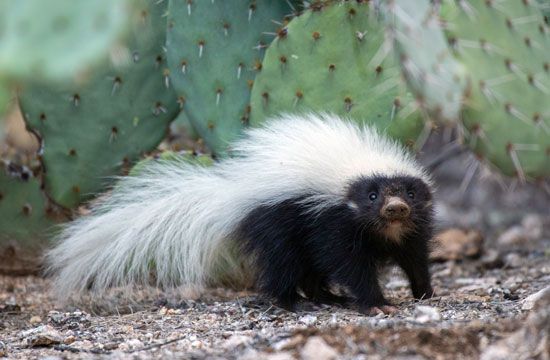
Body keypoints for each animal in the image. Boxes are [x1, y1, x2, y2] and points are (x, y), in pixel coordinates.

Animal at [46, 113, 436, 316]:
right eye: (372, 195)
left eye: (409, 193)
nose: (395, 207)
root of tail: (231, 193)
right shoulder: (334, 219)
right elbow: (349, 263)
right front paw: (376, 303)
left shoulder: (412, 227)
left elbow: (415, 257)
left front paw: (424, 292)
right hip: (277, 223)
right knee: (285, 265)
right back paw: (294, 303)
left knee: (308, 268)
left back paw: (326, 297)